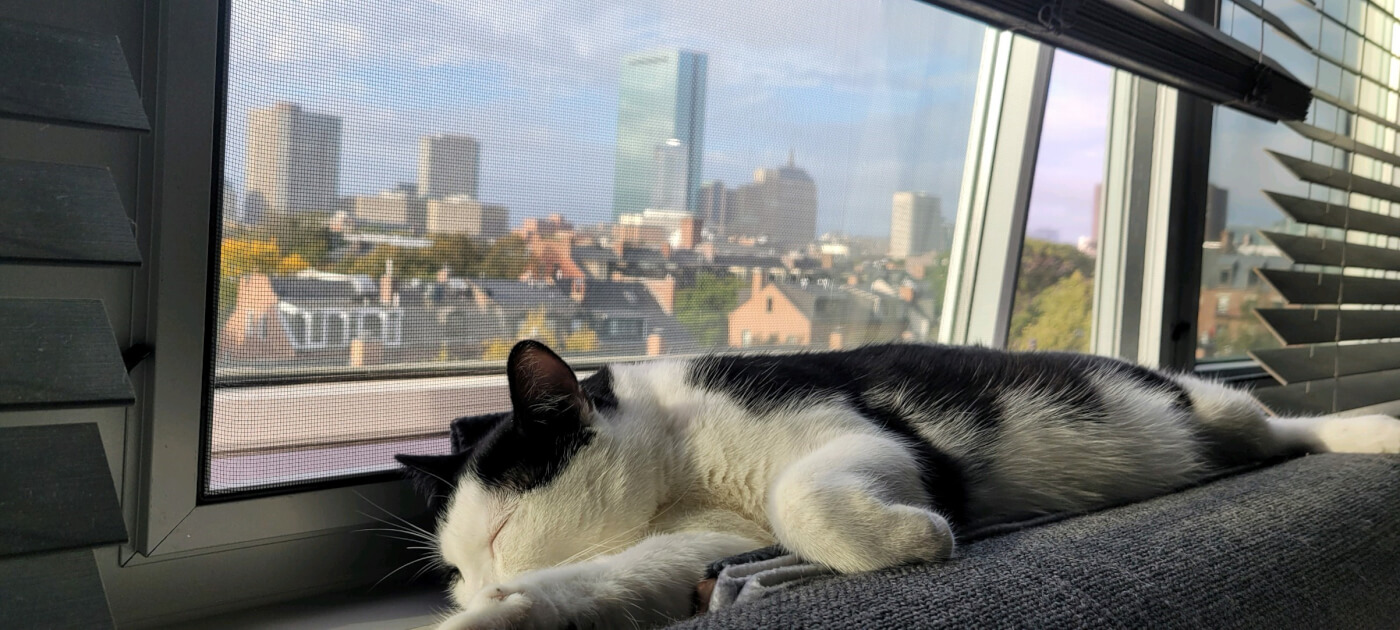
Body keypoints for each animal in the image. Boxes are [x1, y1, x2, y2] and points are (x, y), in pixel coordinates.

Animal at [394, 340, 1400, 630]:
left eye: (499, 533)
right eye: (457, 572)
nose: (473, 588)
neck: (682, 463)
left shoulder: (859, 436)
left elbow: (803, 498)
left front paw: (917, 536)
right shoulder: (707, 539)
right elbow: (607, 580)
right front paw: (495, 619)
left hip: (1210, 405)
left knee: (1285, 428)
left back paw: (1369, 432)